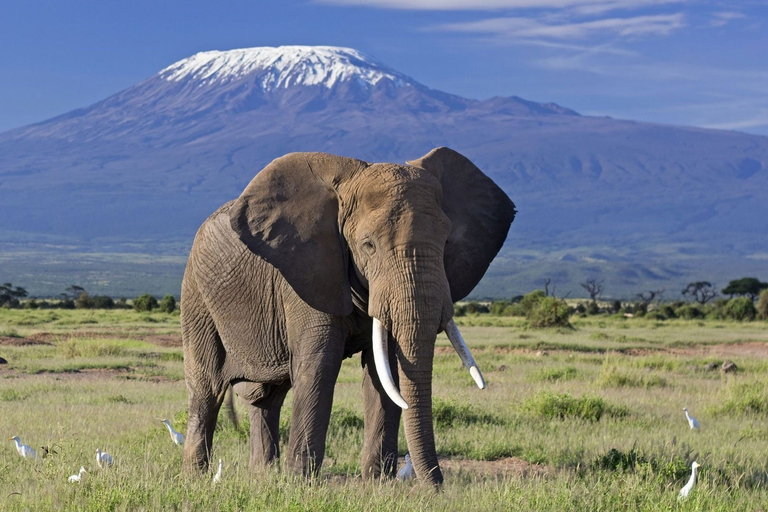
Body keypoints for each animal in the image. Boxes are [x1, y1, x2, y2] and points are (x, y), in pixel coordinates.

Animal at [180, 146, 516, 486]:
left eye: (446, 242)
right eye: (368, 245)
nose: (437, 488)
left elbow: (386, 369)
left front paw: (378, 485)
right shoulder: (308, 273)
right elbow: (320, 366)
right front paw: (302, 484)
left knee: (268, 396)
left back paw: (264, 476)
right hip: (196, 294)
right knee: (207, 387)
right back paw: (196, 478)